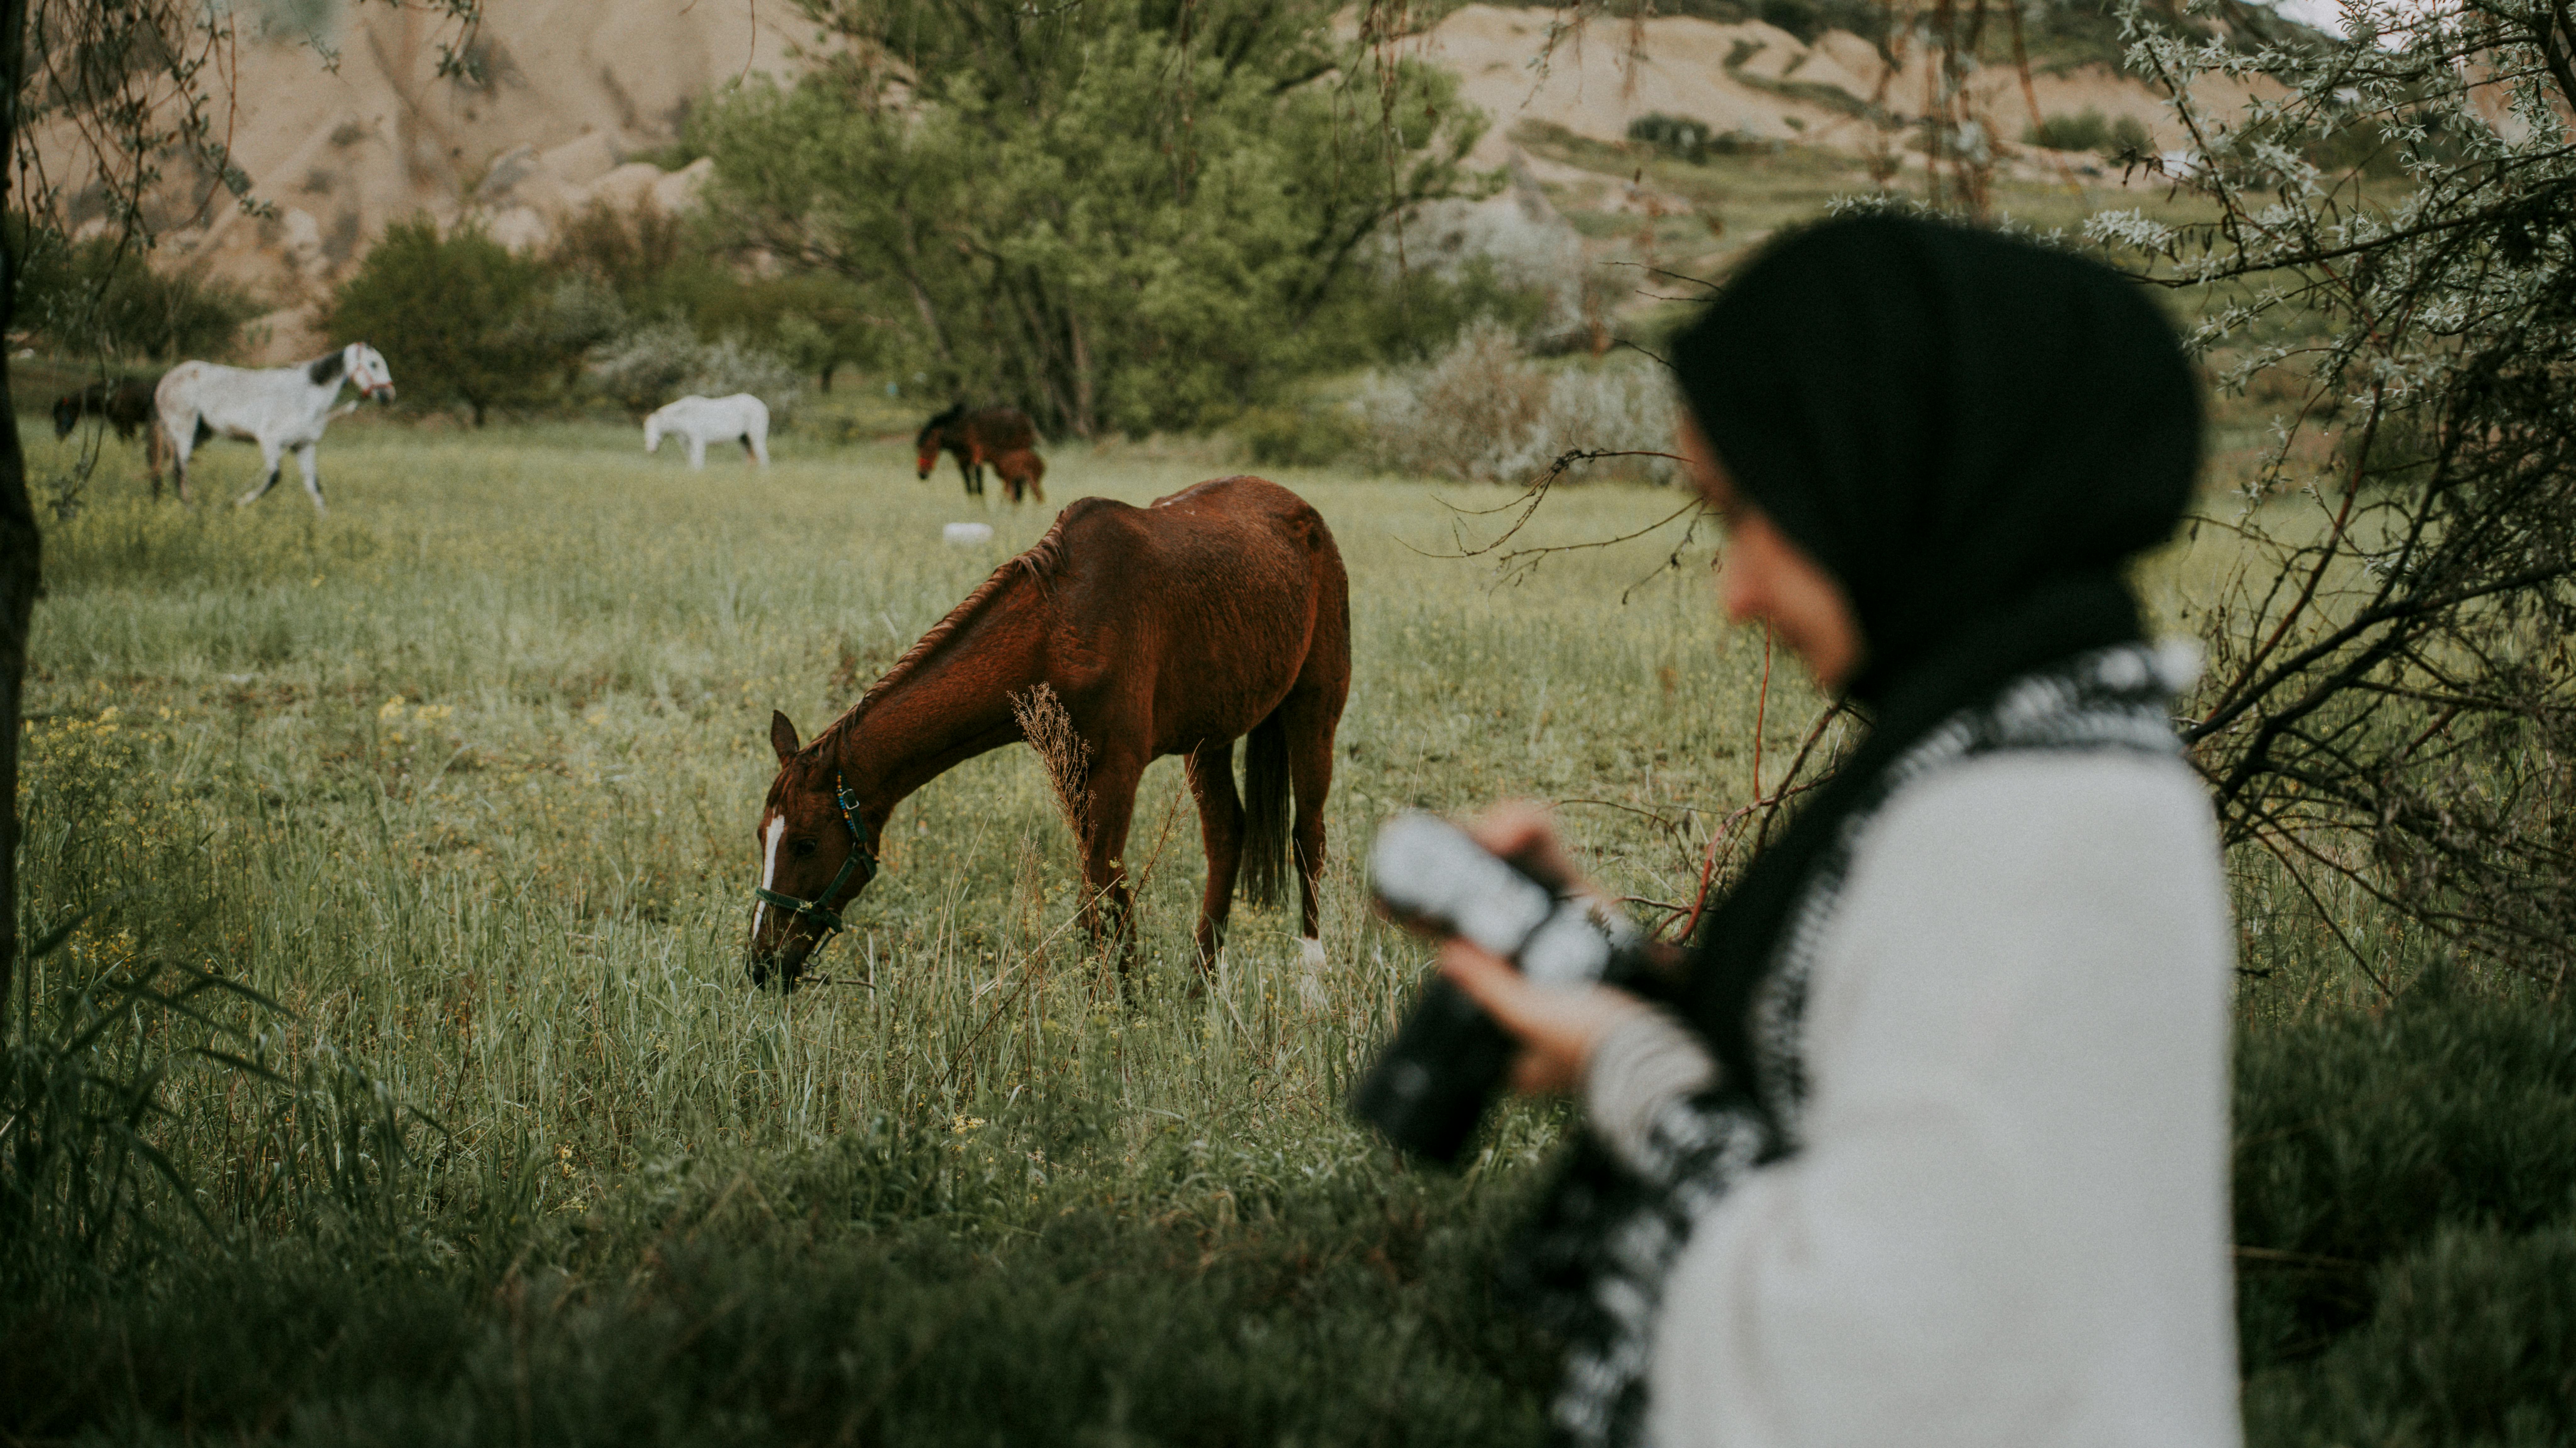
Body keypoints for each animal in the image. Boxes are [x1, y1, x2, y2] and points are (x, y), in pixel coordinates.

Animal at [156, 343, 395, 513]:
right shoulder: (270, 441)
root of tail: (165, 382)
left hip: (199, 434)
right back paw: (190, 511)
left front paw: (326, 524)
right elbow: (274, 478)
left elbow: (314, 487)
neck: (306, 397)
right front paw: (239, 503)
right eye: (374, 364)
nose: (390, 396)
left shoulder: (304, 446)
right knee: (180, 469)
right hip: (184, 432)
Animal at [646, 394, 770, 469]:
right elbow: (692, 462)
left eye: (656, 428)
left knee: (764, 457)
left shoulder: (698, 441)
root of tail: (763, 406)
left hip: (756, 437)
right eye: (647, 430)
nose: (651, 450)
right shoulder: (687, 443)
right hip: (744, 439)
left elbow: (698, 462)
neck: (685, 416)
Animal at [748, 474, 1350, 990]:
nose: (762, 963)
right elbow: (1107, 896)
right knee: (1227, 836)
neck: (1062, 625)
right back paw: (1197, 991)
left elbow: (1098, 900)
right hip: (1209, 740)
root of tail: (1303, 512)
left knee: (1309, 838)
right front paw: (1126, 1001)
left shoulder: (1117, 771)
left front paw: (1111, 1015)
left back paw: (1312, 984)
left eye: (806, 843)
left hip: (1312, 714)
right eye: (761, 837)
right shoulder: (1073, 771)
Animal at [915, 404, 1043, 502]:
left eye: (929, 447)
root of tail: (1027, 419)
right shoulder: (963, 462)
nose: (922, 475)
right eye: (918, 447)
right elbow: (970, 488)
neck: (960, 430)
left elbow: (980, 488)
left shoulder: (977, 459)